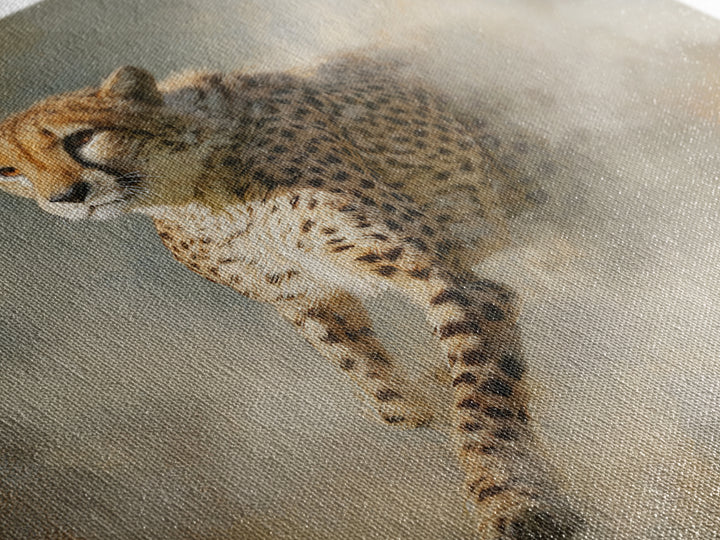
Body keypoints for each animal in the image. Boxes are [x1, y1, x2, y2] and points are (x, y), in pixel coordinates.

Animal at [0, 56, 580, 539]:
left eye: (82, 137)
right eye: (10, 170)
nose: (66, 197)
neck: (192, 189)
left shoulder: (451, 280)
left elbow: (481, 398)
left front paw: (515, 502)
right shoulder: (300, 293)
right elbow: (368, 375)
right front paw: (418, 405)